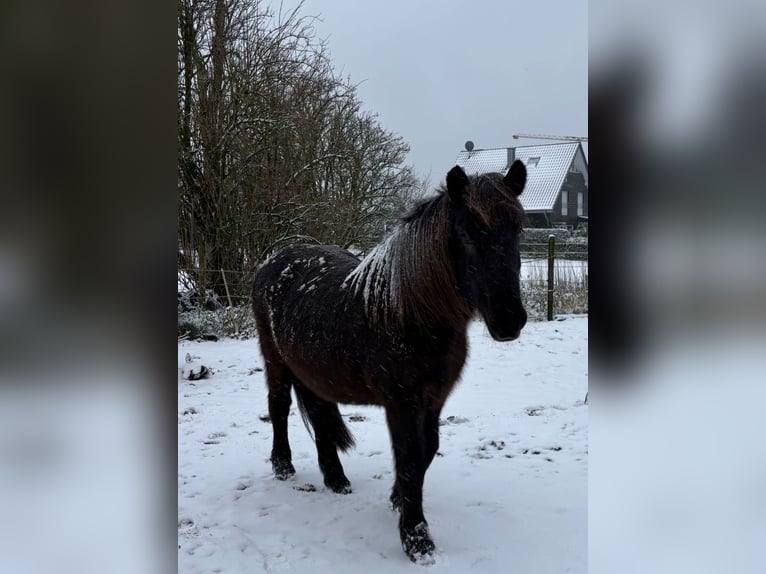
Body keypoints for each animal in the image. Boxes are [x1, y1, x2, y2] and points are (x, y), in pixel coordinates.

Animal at [251, 161, 528, 562]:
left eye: (518, 228)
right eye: (466, 231)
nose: (509, 321)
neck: (410, 313)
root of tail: (273, 261)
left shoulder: (434, 400)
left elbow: (426, 451)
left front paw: (399, 499)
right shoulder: (402, 402)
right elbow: (411, 457)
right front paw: (416, 539)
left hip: (314, 370)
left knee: (318, 411)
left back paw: (335, 478)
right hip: (275, 361)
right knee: (279, 406)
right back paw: (283, 465)